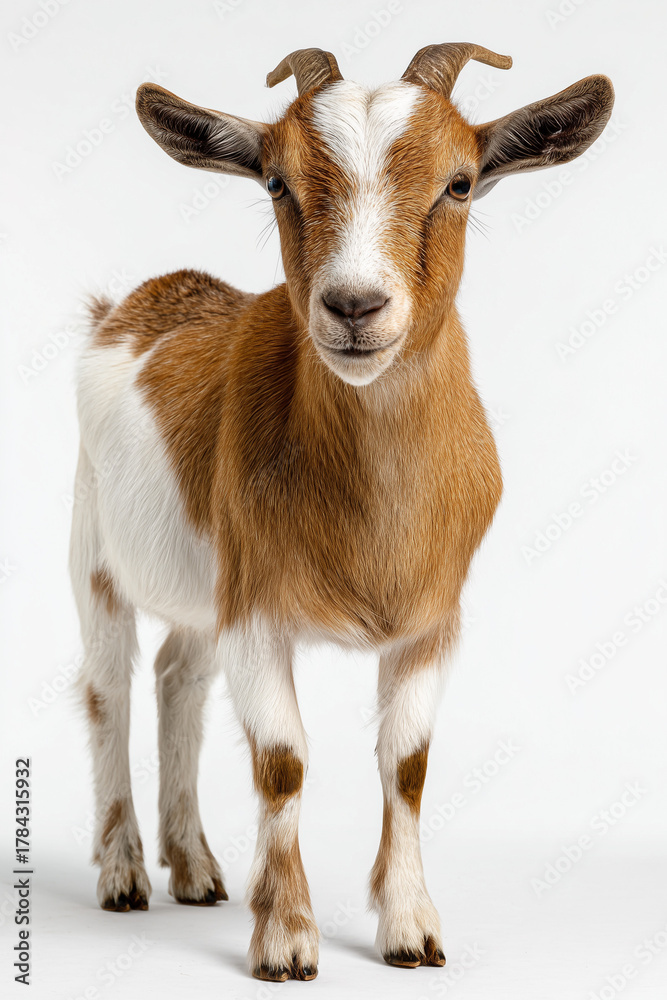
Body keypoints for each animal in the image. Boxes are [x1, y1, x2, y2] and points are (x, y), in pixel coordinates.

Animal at [69, 43, 614, 981]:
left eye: (459, 183)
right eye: (276, 181)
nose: (354, 306)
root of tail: (129, 307)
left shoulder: (430, 622)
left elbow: (408, 766)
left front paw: (411, 929)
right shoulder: (257, 613)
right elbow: (283, 764)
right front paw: (287, 941)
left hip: (202, 592)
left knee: (178, 680)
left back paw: (196, 868)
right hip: (94, 556)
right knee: (111, 690)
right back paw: (124, 874)